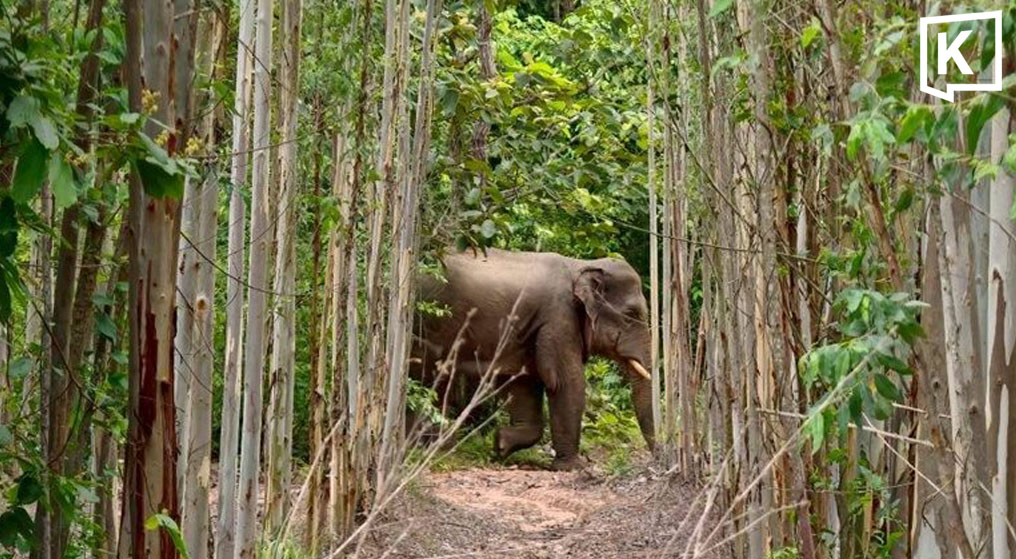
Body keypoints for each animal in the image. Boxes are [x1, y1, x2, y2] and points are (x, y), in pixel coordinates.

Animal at [411, 248, 655, 470]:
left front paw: (500, 444)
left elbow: (525, 383)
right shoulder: (558, 319)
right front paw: (572, 468)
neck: (581, 265)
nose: (657, 458)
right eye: (631, 314)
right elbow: (566, 383)